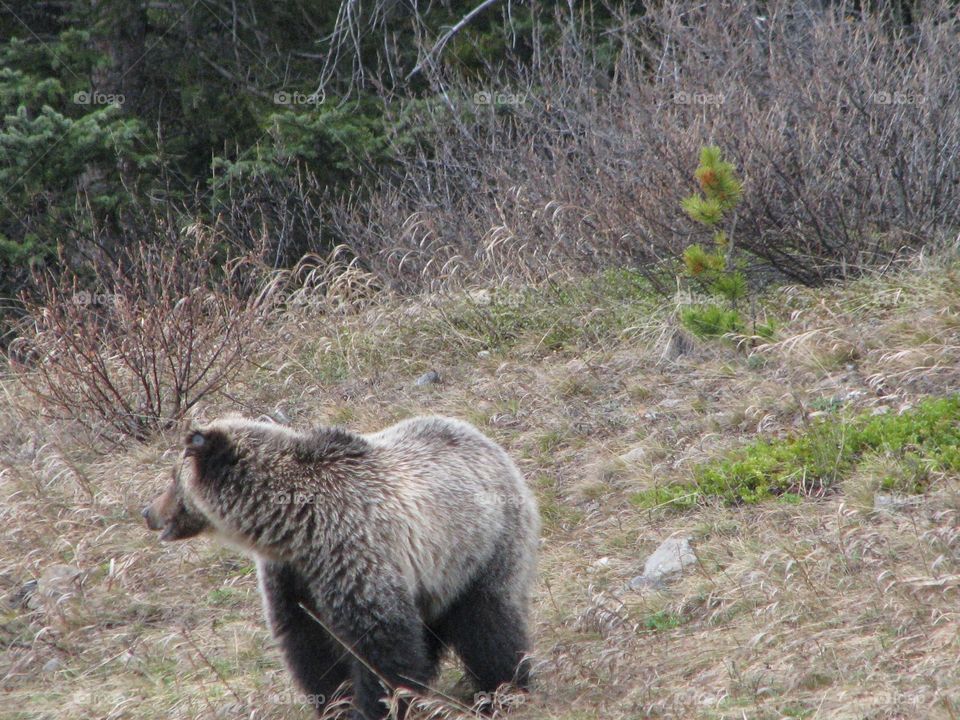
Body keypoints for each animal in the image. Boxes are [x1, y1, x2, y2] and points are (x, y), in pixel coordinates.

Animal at [142, 415, 539, 720]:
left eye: (172, 477)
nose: (148, 511)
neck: (292, 527)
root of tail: (488, 442)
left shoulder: (352, 552)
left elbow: (380, 642)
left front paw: (377, 706)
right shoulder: (292, 577)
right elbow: (310, 647)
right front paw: (336, 704)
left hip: (481, 548)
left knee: (488, 622)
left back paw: (503, 690)